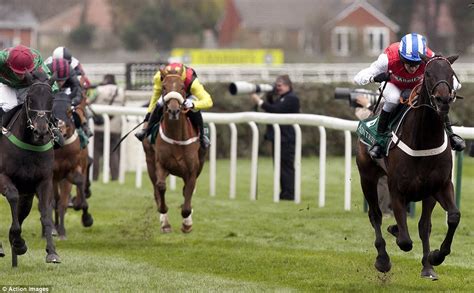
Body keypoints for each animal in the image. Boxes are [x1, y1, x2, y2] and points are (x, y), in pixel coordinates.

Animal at [0, 70, 60, 264]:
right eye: (30, 98)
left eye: (51, 99)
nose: (41, 130)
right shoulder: (2, 177)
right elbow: (12, 196)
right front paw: (17, 241)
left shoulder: (43, 181)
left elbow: (45, 212)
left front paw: (52, 252)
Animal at [52, 92, 93, 238]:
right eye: (52, 111)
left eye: (69, 111)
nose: (59, 129)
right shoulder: (52, 174)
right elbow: (55, 201)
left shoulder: (72, 169)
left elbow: (79, 182)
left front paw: (86, 218)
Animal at [143, 66, 206, 233]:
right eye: (164, 87)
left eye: (182, 87)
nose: (173, 111)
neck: (177, 136)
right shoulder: (160, 164)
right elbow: (160, 186)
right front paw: (164, 217)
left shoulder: (192, 171)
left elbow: (187, 195)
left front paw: (187, 223)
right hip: (149, 162)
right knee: (155, 189)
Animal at [358, 54, 462, 278]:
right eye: (428, 73)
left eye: (451, 73)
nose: (443, 100)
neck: (424, 140)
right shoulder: (397, 189)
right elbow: (405, 241)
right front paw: (395, 236)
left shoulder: (439, 186)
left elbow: (451, 217)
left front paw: (435, 258)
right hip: (367, 177)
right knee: (375, 215)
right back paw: (382, 258)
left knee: (423, 225)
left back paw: (427, 265)